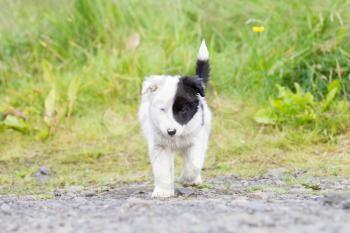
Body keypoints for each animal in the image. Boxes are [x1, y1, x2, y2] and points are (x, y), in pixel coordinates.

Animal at [139, 39, 211, 197]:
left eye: (183, 110)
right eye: (162, 110)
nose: (171, 131)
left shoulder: (196, 140)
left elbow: (194, 163)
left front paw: (187, 179)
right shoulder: (159, 146)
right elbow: (162, 170)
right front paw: (163, 191)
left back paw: (195, 179)